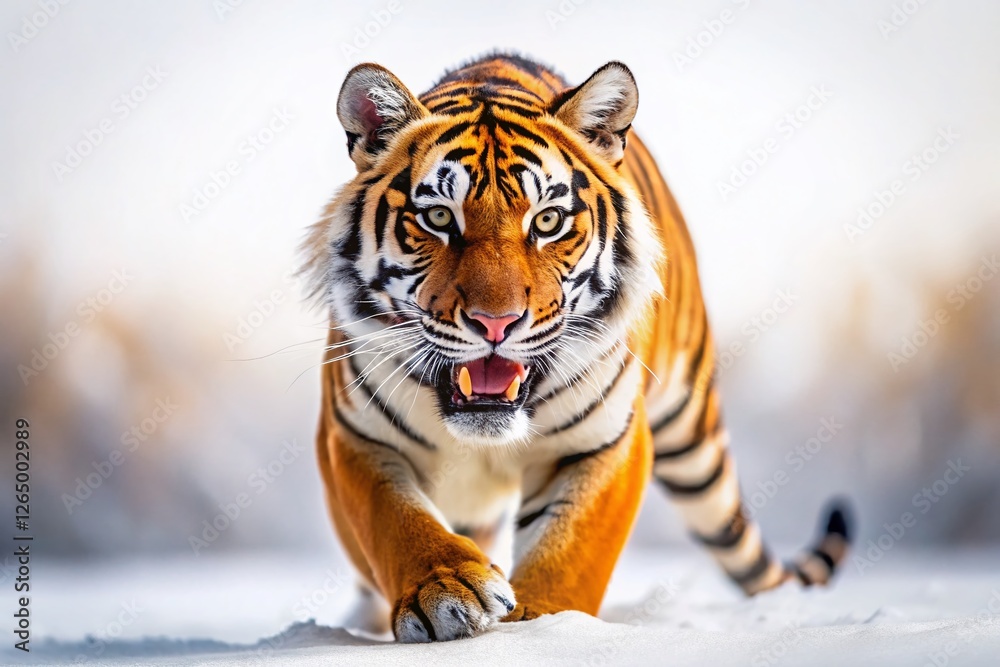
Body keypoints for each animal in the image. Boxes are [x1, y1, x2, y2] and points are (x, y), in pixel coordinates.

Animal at [302, 53, 852, 643]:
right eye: (439, 217)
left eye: (547, 221)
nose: (496, 322)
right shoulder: (353, 435)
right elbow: (394, 519)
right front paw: (445, 591)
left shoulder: (606, 440)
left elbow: (570, 550)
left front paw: (542, 625)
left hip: (691, 432)